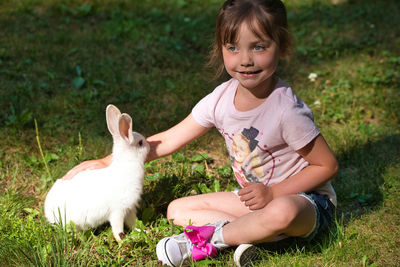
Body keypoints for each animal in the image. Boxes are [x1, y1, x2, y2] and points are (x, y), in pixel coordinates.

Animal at [44, 104, 150, 243]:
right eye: (140, 143)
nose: (150, 145)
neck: (128, 163)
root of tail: (47, 212)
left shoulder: (129, 209)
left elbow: (133, 223)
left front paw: (143, 231)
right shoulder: (118, 211)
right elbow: (117, 228)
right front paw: (122, 240)